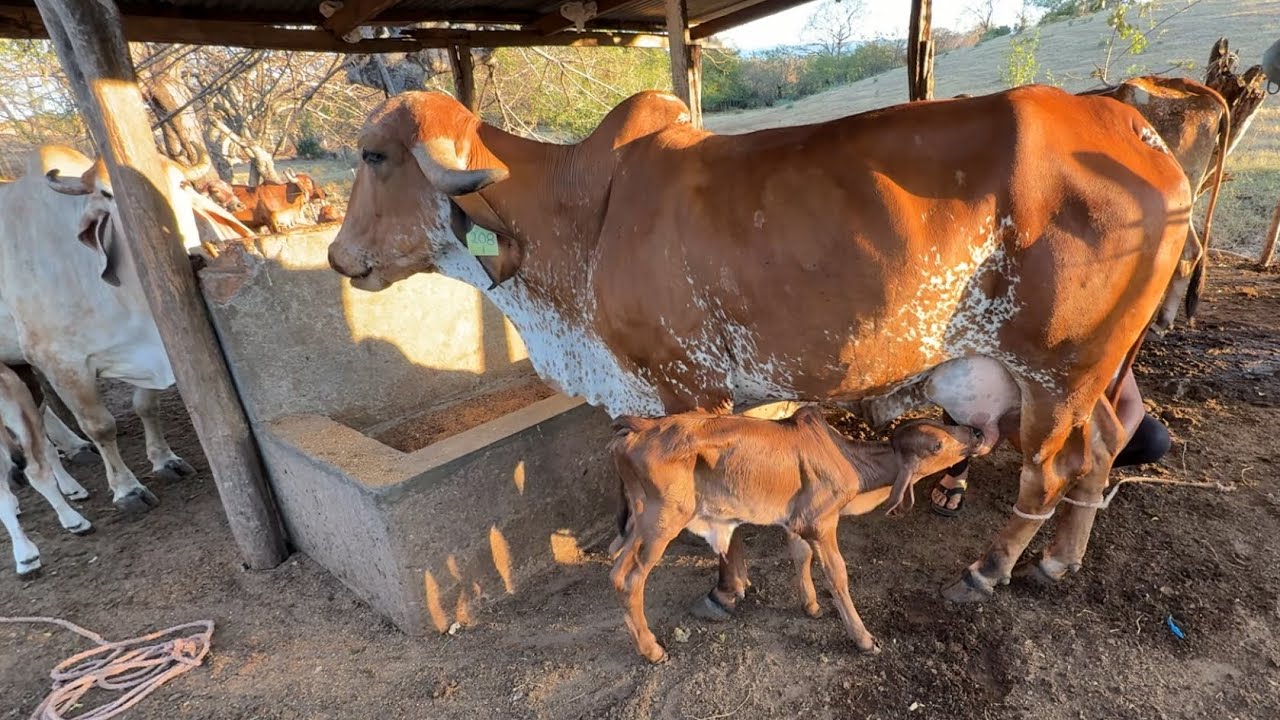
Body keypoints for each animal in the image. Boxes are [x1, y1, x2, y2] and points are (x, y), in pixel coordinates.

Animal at [0, 145, 254, 512]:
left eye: (181, 184)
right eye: (108, 194)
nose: (189, 251)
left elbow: (146, 405)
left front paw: (164, 460)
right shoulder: (60, 363)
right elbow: (101, 427)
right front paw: (127, 490)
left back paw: (74, 450)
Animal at [327, 87, 1192, 607]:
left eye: (374, 155)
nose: (337, 257)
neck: (580, 217)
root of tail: (1132, 125)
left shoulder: (690, 389)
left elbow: (716, 502)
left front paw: (725, 586)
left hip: (1054, 370)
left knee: (1048, 474)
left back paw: (989, 570)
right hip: (1092, 375)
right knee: (1102, 449)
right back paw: (1059, 559)